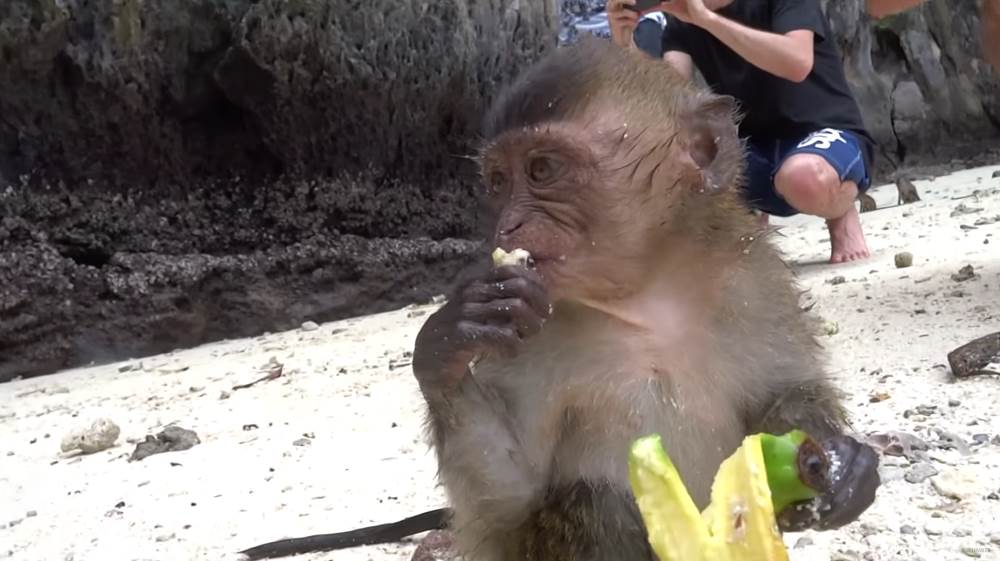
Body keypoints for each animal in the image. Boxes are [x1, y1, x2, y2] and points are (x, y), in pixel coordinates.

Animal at [240, 38, 876, 560]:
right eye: (499, 182)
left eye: (543, 169)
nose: (509, 226)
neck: (645, 299)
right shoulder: (528, 338)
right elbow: (509, 506)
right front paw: (447, 343)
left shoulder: (750, 279)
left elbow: (782, 393)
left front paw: (837, 463)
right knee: (594, 500)